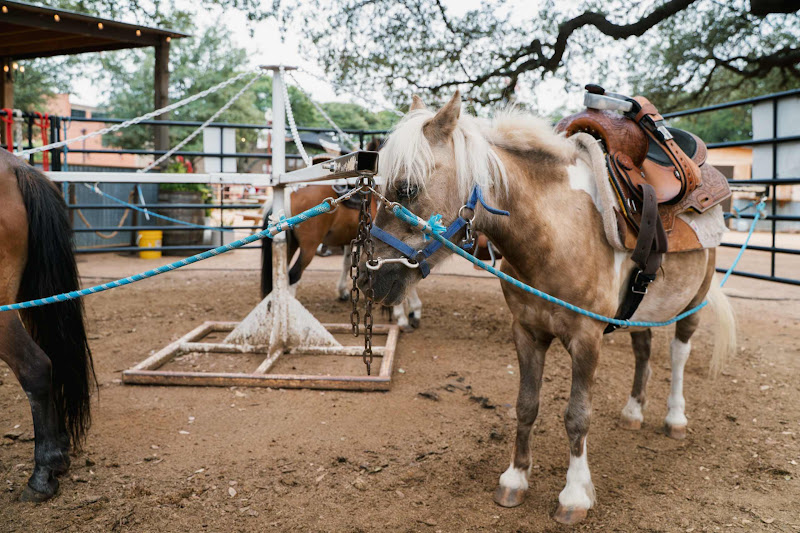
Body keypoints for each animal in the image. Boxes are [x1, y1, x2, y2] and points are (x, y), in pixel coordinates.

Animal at [361, 93, 736, 524]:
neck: (558, 230)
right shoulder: (527, 331)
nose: (367, 279)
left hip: (692, 304)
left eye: (406, 188)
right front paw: (515, 478)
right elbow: (526, 405)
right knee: (644, 350)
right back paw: (633, 412)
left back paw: (675, 418)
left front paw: (574, 495)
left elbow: (577, 417)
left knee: (678, 355)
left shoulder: (587, 339)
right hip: (644, 308)